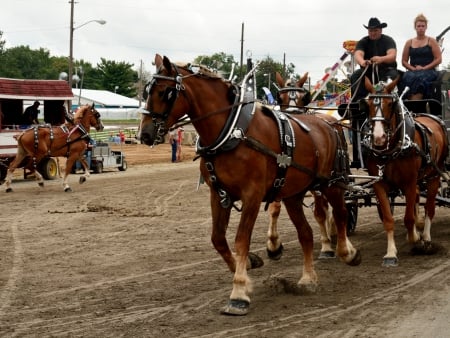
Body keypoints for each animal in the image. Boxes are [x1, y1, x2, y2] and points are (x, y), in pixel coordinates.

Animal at [139, 54, 360, 316]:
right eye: (146, 90)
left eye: (165, 92)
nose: (144, 134)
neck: (232, 132)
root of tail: (328, 124)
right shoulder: (219, 194)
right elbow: (218, 239)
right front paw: (249, 266)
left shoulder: (252, 195)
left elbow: (241, 239)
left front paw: (239, 292)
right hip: (293, 194)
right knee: (306, 233)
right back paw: (308, 278)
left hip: (330, 184)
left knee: (341, 213)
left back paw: (346, 252)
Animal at [364, 76, 448, 266]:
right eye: (368, 103)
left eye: (390, 104)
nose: (378, 137)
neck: (391, 150)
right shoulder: (379, 184)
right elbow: (388, 219)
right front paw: (390, 254)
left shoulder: (409, 182)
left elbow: (408, 218)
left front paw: (415, 239)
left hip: (434, 176)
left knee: (430, 207)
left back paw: (426, 238)